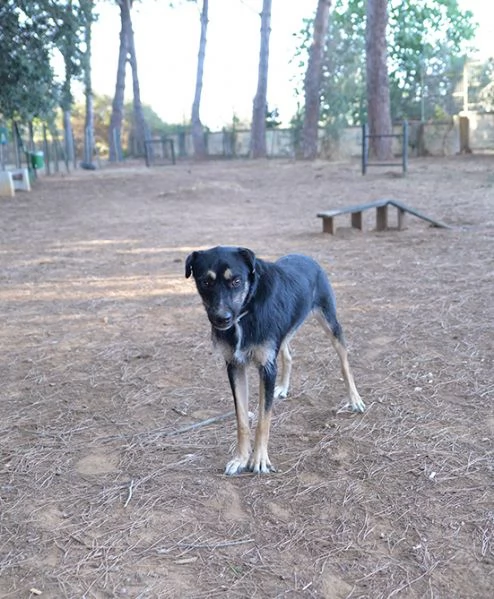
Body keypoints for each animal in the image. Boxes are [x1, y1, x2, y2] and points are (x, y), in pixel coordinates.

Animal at [185, 246, 362, 476]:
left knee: (344, 361)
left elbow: (263, 419)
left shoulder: (266, 368)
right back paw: (283, 387)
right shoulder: (235, 366)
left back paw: (355, 399)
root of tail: (305, 257)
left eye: (236, 281)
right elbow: (242, 419)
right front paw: (241, 459)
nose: (221, 319)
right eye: (205, 282)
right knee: (288, 355)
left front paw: (259, 459)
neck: (246, 310)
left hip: (330, 322)